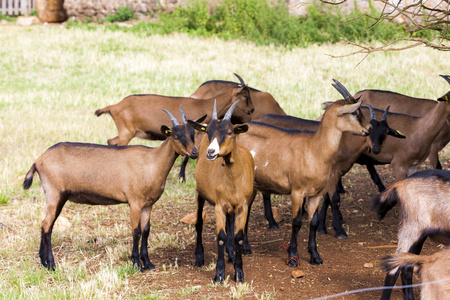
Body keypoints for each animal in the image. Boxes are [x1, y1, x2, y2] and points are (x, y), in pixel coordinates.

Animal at [22, 106, 198, 270]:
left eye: (192, 134)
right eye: (176, 135)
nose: (195, 153)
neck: (152, 162)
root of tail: (38, 160)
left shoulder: (148, 204)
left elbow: (146, 230)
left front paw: (148, 263)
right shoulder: (134, 202)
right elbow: (136, 231)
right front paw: (136, 264)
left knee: (46, 225)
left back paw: (43, 262)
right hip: (55, 193)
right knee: (47, 225)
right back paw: (51, 265)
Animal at [188, 99, 255, 282]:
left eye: (230, 131)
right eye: (209, 131)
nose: (211, 152)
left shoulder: (242, 206)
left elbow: (238, 237)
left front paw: (239, 273)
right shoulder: (219, 206)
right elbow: (220, 237)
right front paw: (219, 274)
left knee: (230, 225)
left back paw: (231, 255)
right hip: (199, 193)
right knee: (199, 222)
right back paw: (199, 257)